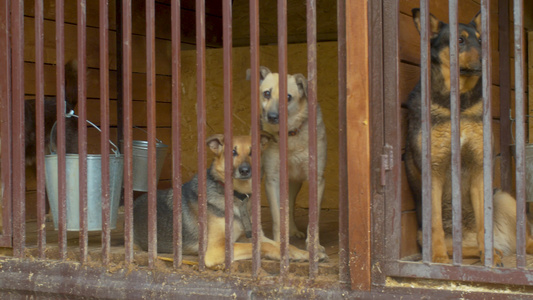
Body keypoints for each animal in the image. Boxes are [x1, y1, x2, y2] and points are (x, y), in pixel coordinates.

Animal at [132, 134, 312, 268]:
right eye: (232, 152)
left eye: (252, 152)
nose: (245, 170)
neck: (238, 197)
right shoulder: (216, 250)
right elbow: (262, 246)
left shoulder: (254, 235)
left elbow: (278, 243)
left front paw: (301, 252)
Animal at [404, 8, 532, 264]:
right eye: (460, 41)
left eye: (482, 41)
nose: (486, 61)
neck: (459, 105)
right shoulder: (433, 172)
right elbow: (436, 226)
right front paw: (440, 261)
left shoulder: (478, 168)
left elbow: (484, 222)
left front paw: (488, 259)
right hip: (424, 237)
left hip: (504, 198)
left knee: (525, 241)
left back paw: (494, 252)